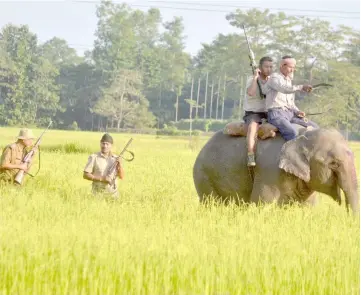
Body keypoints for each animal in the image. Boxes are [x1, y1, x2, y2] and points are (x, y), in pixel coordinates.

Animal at [191, 125, 358, 215]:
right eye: (334, 164)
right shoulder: (269, 172)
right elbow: (261, 204)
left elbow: (307, 208)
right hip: (204, 176)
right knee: (211, 203)